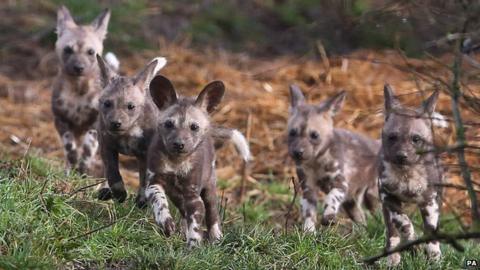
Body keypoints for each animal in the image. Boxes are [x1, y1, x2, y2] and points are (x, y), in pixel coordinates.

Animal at [52, 6, 113, 176]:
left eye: (91, 52)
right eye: (67, 49)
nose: (78, 67)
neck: (78, 89)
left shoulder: (95, 124)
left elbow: (88, 148)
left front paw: (83, 168)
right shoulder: (61, 120)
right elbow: (69, 146)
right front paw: (73, 161)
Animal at [146, 75, 251, 247]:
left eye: (194, 127)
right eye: (169, 124)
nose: (179, 144)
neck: (177, 162)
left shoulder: (194, 197)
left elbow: (195, 225)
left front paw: (194, 245)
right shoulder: (154, 183)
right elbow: (159, 201)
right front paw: (165, 221)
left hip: (209, 190)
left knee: (213, 215)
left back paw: (216, 237)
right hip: (177, 196)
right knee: (183, 212)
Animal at [286, 85, 380, 230]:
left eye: (314, 135)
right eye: (292, 133)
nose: (297, 152)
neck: (316, 161)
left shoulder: (340, 184)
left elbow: (331, 198)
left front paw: (328, 217)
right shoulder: (308, 188)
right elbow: (309, 213)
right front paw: (309, 232)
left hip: (372, 195)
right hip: (351, 202)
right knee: (361, 218)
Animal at [378, 85, 442, 266]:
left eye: (416, 139)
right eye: (392, 137)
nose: (401, 155)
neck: (406, 174)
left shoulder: (430, 202)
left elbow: (430, 231)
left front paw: (433, 255)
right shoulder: (388, 198)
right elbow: (404, 224)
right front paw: (413, 242)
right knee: (392, 233)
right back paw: (393, 257)